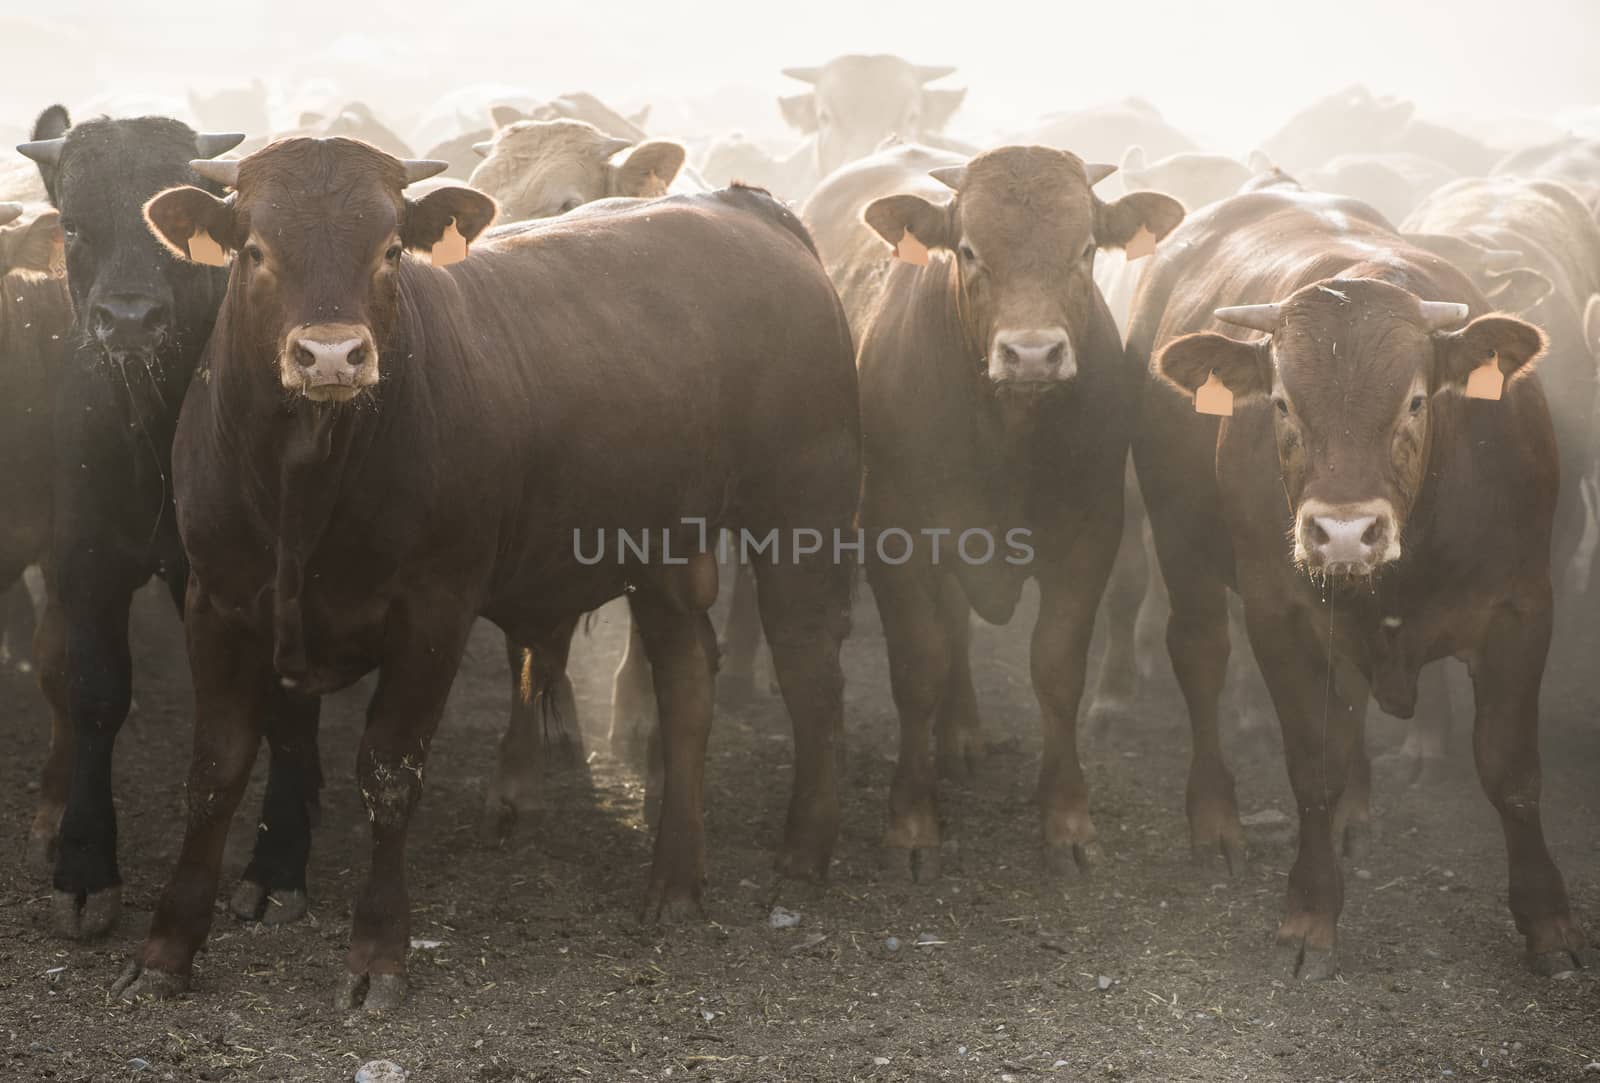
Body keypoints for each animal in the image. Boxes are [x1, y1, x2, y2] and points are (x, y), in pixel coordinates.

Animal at [118, 137, 864, 1004]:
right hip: (663, 549)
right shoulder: (219, 600)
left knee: (810, 670)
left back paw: (804, 851)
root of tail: (748, 208)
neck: (303, 483)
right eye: (255, 249)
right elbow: (216, 768)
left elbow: (389, 770)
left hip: (802, 513)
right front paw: (165, 948)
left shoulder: (433, 611)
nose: (332, 354)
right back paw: (676, 880)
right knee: (685, 684)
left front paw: (378, 950)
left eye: (390, 249)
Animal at [844, 143, 1184, 876]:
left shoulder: (1089, 536)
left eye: (1085, 249)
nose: (1032, 353)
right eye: (969, 250)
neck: (1007, 431)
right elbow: (918, 664)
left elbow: (1056, 670)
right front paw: (911, 820)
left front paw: (1068, 819)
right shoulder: (894, 534)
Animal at [1139, 185, 1587, 979]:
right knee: (1199, 656)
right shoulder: (1279, 615)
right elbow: (1313, 762)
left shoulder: (1524, 607)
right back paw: (1216, 821)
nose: (1344, 532)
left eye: (1415, 400)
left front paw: (1548, 920)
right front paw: (1312, 912)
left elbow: (1511, 772)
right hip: (1179, 538)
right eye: (1281, 403)